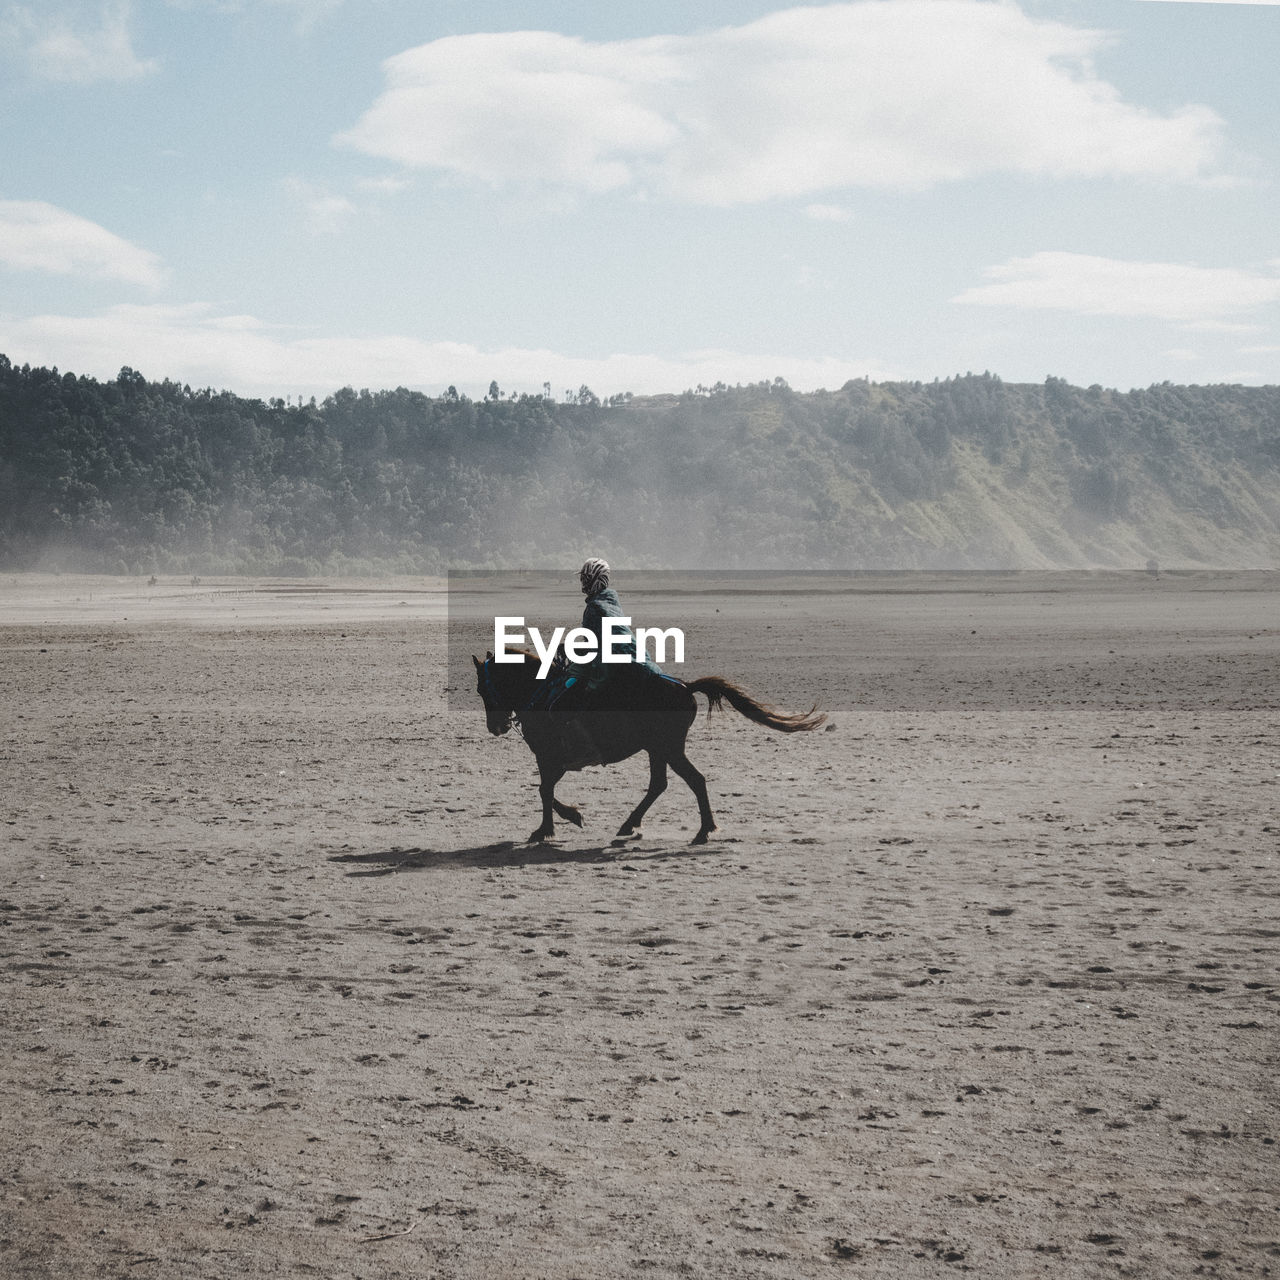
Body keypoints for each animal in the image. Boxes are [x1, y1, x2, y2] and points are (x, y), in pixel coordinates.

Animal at [476, 650, 824, 849]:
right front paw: (564, 820)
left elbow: (544, 790)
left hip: (668, 747)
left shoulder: (549, 756)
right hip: (657, 749)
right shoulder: (552, 759)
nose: (496, 727)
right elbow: (545, 789)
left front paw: (551, 827)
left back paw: (703, 831)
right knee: (660, 784)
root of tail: (685, 687)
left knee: (694, 780)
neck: (540, 690)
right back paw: (631, 825)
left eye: (481, 688)